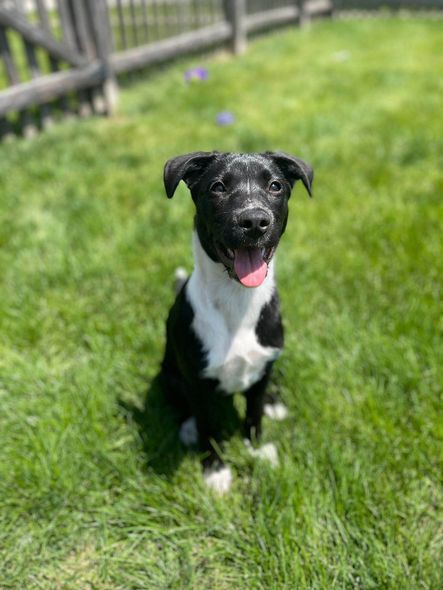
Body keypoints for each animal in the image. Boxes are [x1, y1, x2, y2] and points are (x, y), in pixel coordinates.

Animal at [160, 151, 312, 494]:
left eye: (275, 185)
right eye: (217, 187)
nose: (254, 221)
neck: (237, 300)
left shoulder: (263, 362)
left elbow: (253, 415)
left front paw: (256, 449)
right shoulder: (198, 385)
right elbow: (208, 428)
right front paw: (215, 471)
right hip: (170, 374)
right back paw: (187, 428)